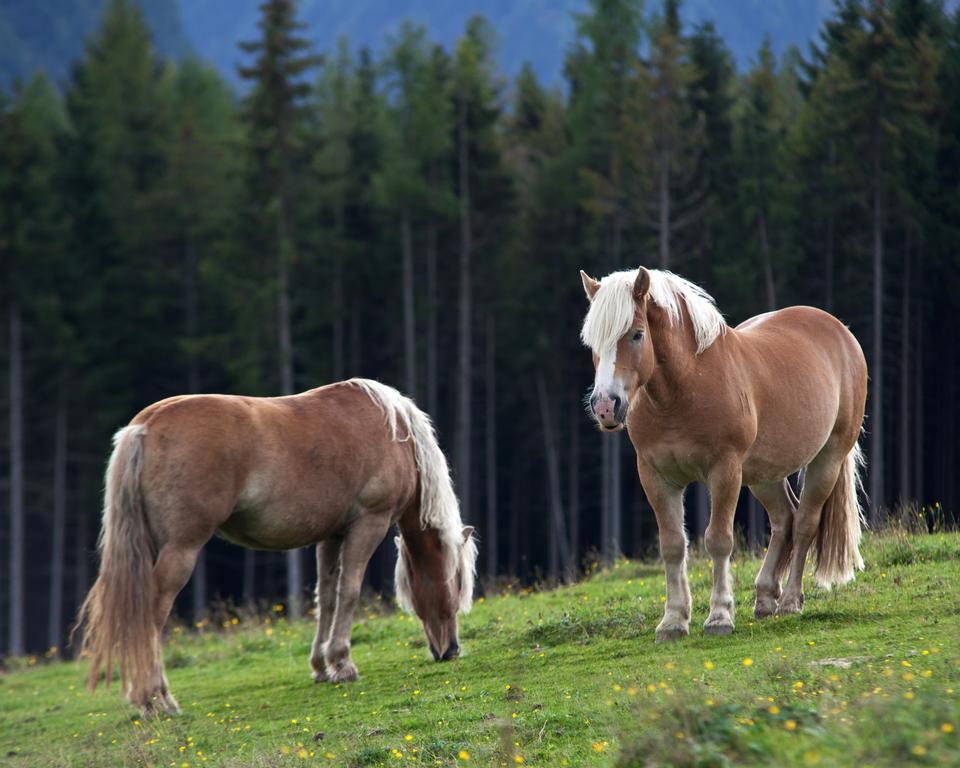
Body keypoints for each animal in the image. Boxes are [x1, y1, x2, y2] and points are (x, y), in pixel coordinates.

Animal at [73, 378, 478, 712]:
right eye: (457, 584)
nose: (451, 650)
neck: (395, 434)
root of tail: (145, 425)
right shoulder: (368, 524)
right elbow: (349, 593)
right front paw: (343, 663)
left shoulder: (331, 534)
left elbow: (326, 598)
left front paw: (322, 667)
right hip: (179, 550)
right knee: (153, 612)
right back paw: (156, 699)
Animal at [576, 268, 872, 640]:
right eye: (591, 343)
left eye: (636, 334)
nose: (605, 406)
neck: (685, 389)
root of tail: (840, 332)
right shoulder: (656, 477)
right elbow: (673, 545)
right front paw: (673, 621)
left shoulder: (724, 471)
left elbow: (718, 540)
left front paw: (719, 617)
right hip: (764, 474)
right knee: (784, 519)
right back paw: (764, 598)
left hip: (827, 458)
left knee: (805, 521)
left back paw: (790, 601)